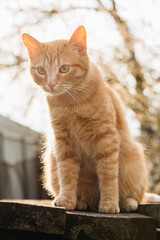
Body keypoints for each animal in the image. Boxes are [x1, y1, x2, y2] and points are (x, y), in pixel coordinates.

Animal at [22, 25, 148, 214]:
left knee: (137, 194)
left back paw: (127, 202)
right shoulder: (63, 141)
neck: (71, 102)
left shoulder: (106, 138)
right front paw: (67, 199)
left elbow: (108, 175)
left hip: (134, 160)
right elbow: (66, 174)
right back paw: (81, 202)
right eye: (41, 70)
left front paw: (110, 203)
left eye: (64, 68)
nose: (51, 84)